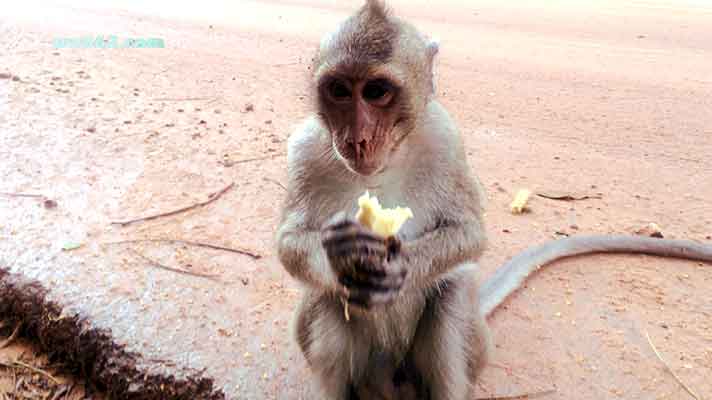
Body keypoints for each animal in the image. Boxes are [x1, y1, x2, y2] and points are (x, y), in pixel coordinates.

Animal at [276, 1, 712, 398]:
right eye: (338, 91)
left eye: (376, 92)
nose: (357, 140)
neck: (383, 166)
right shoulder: (304, 149)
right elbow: (290, 244)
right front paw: (340, 253)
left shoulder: (446, 140)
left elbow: (470, 233)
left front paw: (399, 265)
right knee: (326, 296)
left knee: (451, 294)